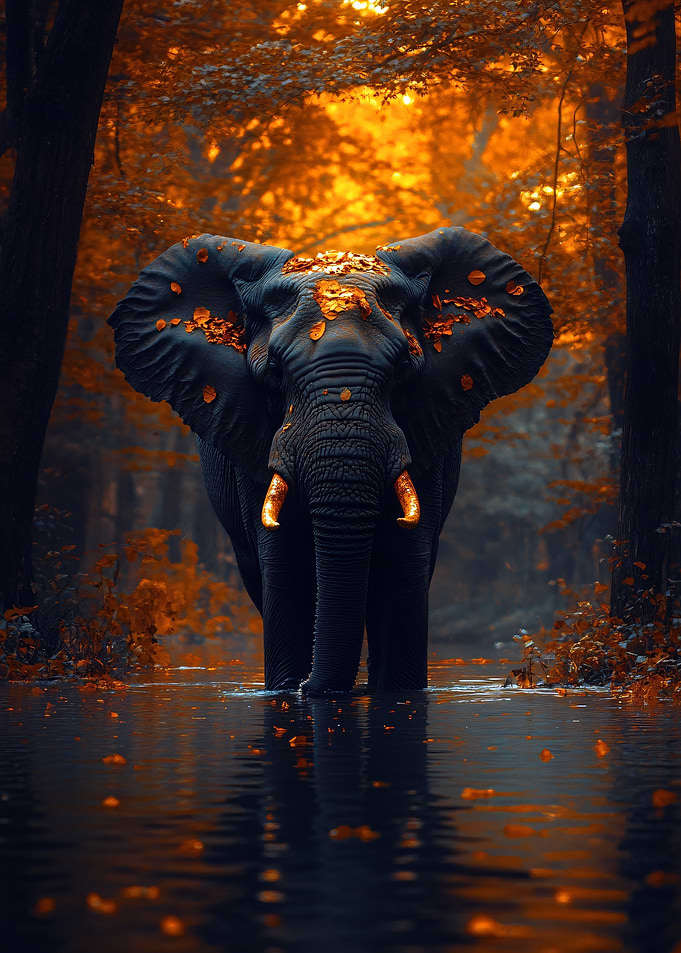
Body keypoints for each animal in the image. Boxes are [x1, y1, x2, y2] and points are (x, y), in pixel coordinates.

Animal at [108, 226, 553, 695]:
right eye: (276, 371)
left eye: (402, 367)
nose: (307, 686)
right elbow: (284, 565)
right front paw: (289, 688)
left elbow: (404, 566)